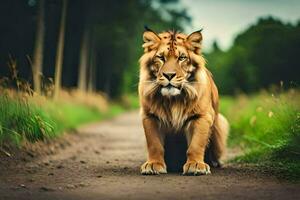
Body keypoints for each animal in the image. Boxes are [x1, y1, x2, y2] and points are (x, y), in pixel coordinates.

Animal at [139, 27, 230, 175]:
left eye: (181, 58)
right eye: (161, 57)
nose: (169, 75)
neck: (173, 100)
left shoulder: (201, 116)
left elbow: (196, 144)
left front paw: (196, 165)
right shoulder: (150, 116)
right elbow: (154, 144)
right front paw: (153, 165)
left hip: (221, 122)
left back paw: (215, 163)